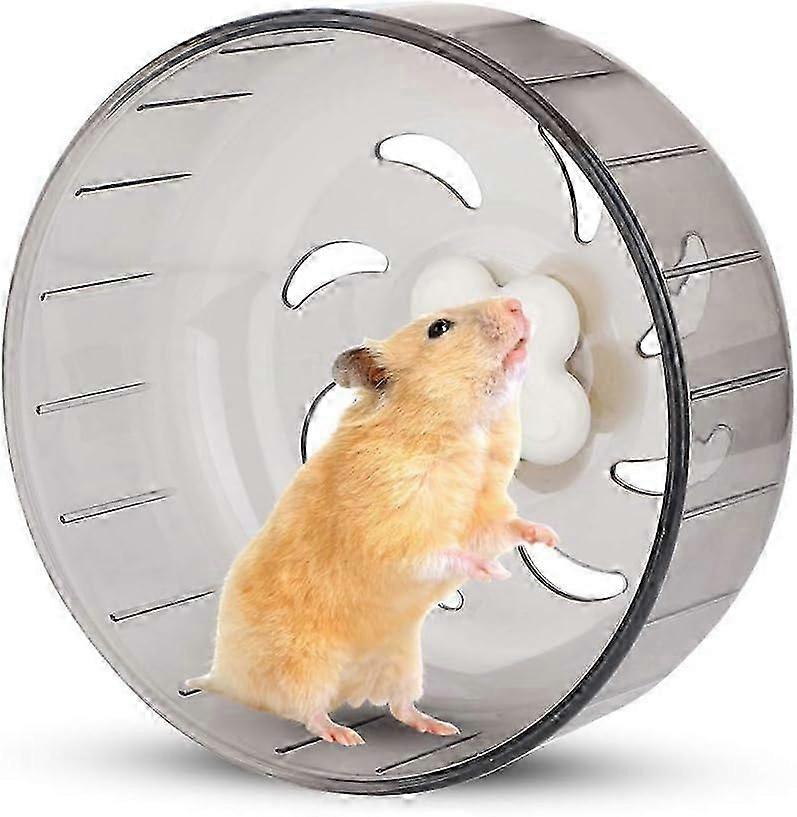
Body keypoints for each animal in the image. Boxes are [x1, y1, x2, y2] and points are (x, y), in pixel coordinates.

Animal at [187, 297, 558, 745]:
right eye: (439, 328)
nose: (516, 302)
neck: (468, 431)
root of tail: (224, 678)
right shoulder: (394, 531)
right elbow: (439, 553)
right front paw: (493, 572)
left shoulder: (484, 514)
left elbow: (507, 528)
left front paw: (547, 537)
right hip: (307, 666)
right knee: (306, 711)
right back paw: (345, 736)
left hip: (402, 660)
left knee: (399, 707)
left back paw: (440, 727)